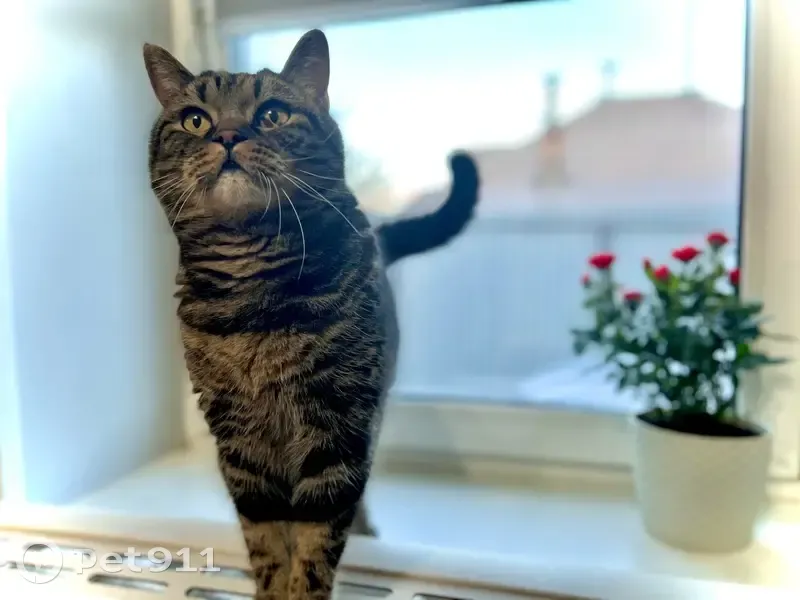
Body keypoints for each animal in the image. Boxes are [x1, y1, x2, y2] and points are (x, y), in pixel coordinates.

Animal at [143, 29, 478, 600]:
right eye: (195, 120)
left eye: (273, 114)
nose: (227, 135)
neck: (251, 294)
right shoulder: (239, 445)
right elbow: (266, 543)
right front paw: (269, 587)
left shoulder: (339, 429)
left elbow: (315, 543)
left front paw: (303, 587)